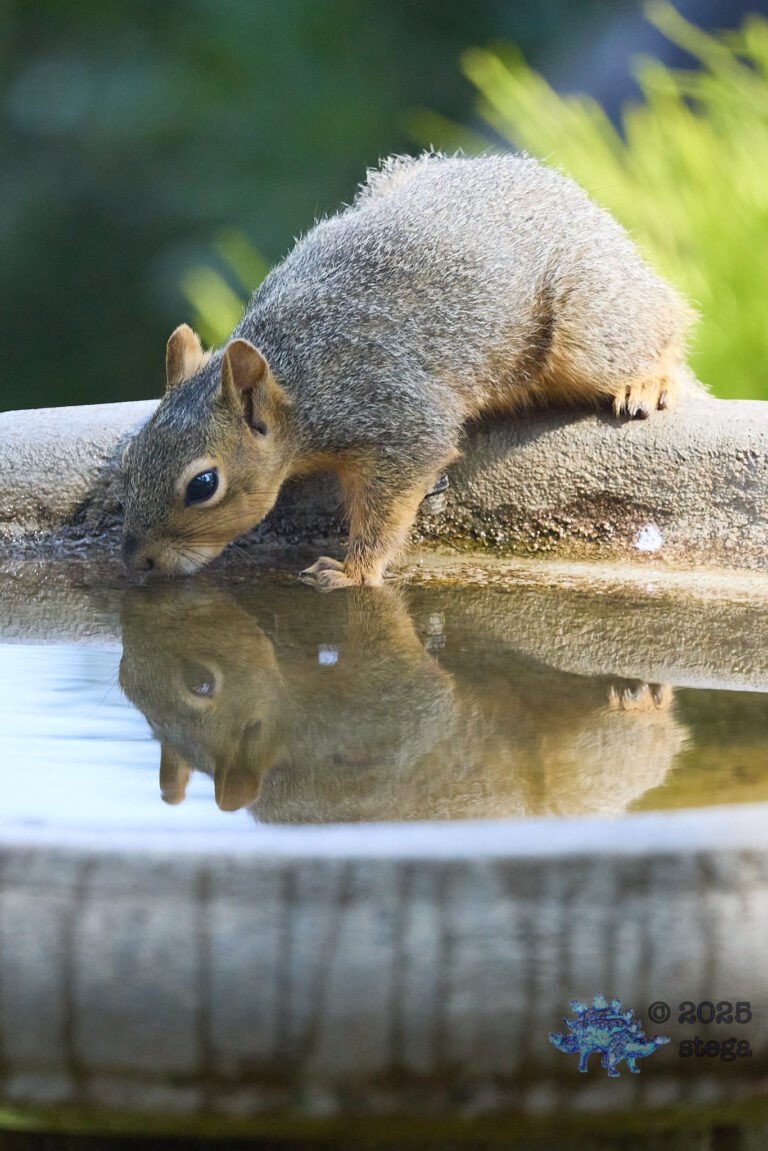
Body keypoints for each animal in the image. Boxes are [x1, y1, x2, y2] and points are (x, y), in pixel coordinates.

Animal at [121, 152, 699, 588]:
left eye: (203, 485)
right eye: (131, 455)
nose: (138, 559)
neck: (298, 374)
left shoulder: (396, 413)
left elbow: (391, 502)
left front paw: (352, 571)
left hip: (589, 324)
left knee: (658, 332)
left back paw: (649, 381)